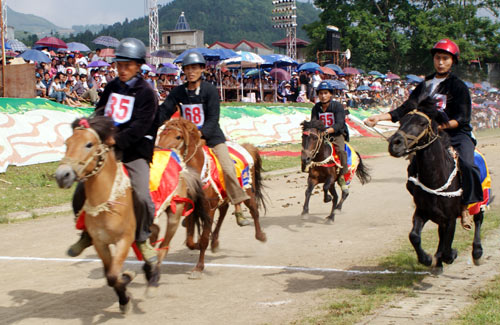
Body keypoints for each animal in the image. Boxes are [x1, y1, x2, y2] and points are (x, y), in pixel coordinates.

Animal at [55, 116, 208, 312]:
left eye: (89, 144)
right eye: (67, 143)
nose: (62, 175)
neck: (108, 200)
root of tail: (177, 157)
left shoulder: (124, 240)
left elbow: (113, 275)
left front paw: (127, 286)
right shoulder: (100, 243)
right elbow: (109, 275)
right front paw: (124, 293)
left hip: (175, 212)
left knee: (163, 249)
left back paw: (153, 278)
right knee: (153, 234)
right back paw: (148, 266)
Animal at [157, 117, 268, 268]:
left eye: (178, 137)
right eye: (161, 134)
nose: (159, 152)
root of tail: (247, 147)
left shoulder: (208, 208)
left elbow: (204, 238)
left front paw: (199, 267)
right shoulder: (192, 206)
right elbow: (190, 240)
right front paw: (197, 245)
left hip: (247, 190)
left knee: (254, 210)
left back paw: (260, 235)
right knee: (223, 211)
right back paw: (215, 242)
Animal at [388, 96, 482, 274]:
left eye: (422, 123)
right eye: (401, 121)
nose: (394, 143)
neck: (437, 178)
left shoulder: (451, 218)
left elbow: (446, 248)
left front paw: (451, 255)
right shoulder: (423, 211)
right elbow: (414, 236)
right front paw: (426, 259)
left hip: (480, 202)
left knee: (479, 219)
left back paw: (477, 253)